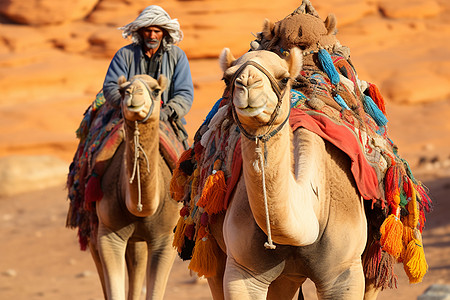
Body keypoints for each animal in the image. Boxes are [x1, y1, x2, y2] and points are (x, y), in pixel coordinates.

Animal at [88, 74, 181, 298]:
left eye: (156, 90)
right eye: (122, 91)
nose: (133, 94)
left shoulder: (166, 237)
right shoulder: (109, 233)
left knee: (137, 263)